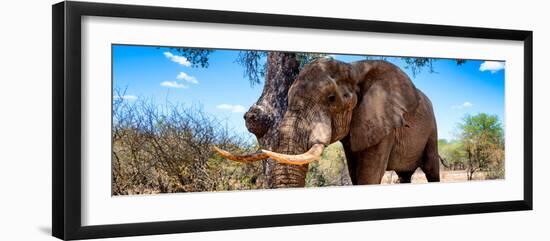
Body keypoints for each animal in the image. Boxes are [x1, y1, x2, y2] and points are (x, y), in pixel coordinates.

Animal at [213, 58, 442, 188]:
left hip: (432, 129)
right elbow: (355, 175)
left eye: (331, 98)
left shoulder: (383, 124)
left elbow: (368, 176)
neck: (353, 67)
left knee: (432, 170)